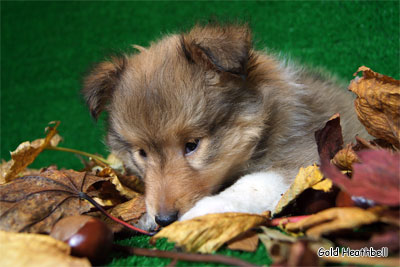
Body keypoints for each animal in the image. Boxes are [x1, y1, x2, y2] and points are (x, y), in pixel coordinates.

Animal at [83, 24, 368, 228]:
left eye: (192, 145)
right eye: (142, 153)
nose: (164, 220)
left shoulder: (305, 150)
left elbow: (252, 184)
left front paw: (203, 213)